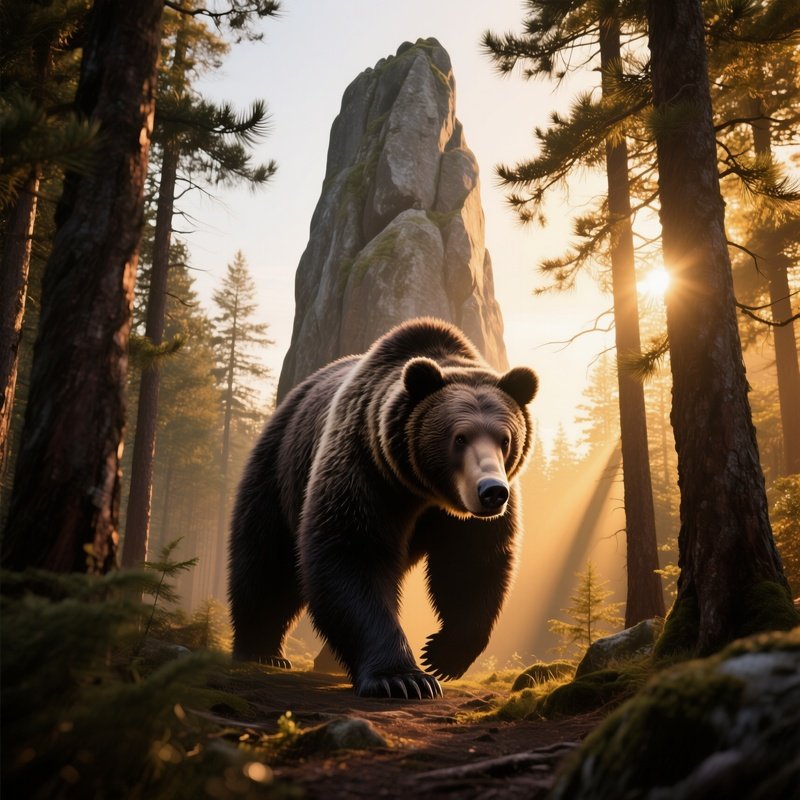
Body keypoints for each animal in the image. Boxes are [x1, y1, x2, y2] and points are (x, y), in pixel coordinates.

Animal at [228, 318, 538, 699]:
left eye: (505, 439)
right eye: (460, 437)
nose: (492, 491)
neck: (424, 490)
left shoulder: (466, 518)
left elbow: (472, 565)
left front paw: (442, 654)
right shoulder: (366, 468)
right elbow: (352, 555)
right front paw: (404, 678)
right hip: (280, 465)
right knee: (267, 559)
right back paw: (261, 650)